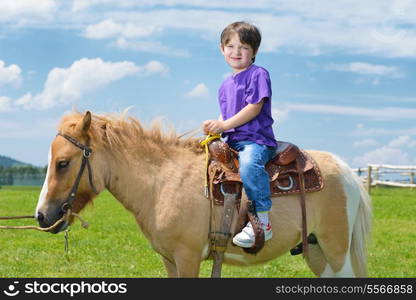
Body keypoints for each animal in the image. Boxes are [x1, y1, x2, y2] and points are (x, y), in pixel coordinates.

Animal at [34, 111, 372, 278]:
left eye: (63, 163)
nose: (42, 216)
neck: (162, 181)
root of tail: (346, 171)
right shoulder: (169, 260)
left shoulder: (187, 257)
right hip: (316, 252)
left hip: (336, 251)